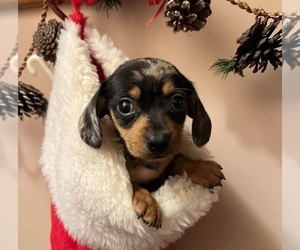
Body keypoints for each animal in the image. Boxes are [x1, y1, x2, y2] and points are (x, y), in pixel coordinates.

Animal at [78, 57, 224, 229]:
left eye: (178, 102)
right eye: (125, 106)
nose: (159, 142)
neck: (148, 164)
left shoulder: (164, 173)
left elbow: (177, 160)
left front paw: (202, 169)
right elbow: (131, 184)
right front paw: (148, 202)